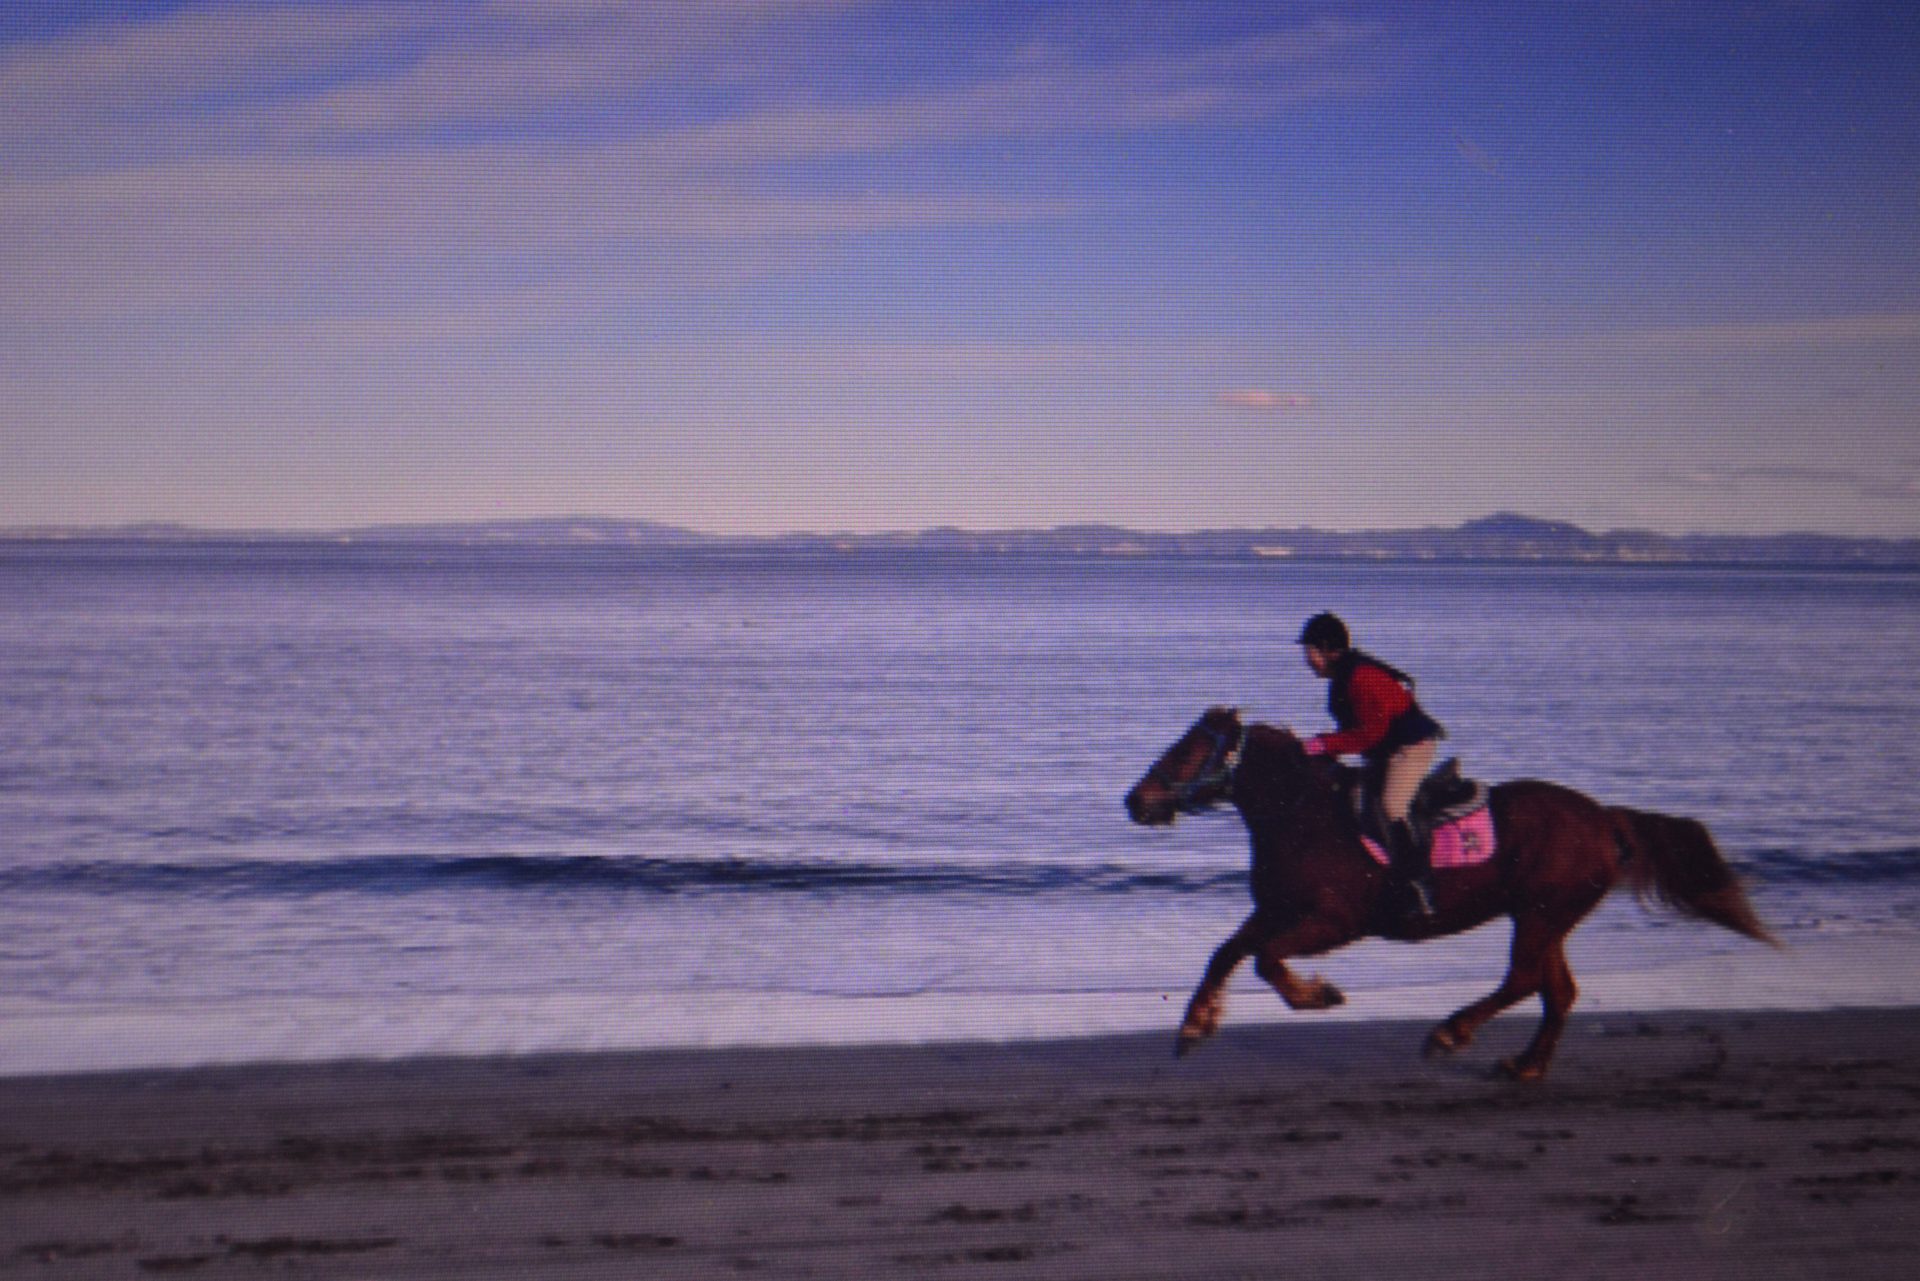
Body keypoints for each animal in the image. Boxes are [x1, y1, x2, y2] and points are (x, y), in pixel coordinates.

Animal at [1121, 706, 1766, 1075]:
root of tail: (1604, 819)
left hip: (1539, 913)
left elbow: (1264, 958)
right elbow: (1228, 952)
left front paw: (1317, 996)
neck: (1301, 813)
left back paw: (1450, 1033)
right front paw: (1194, 1026)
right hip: (1544, 915)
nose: (1135, 801)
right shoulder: (1278, 909)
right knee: (1556, 990)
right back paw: (1525, 1066)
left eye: (1188, 748)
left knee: (1525, 979)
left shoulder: (1333, 922)